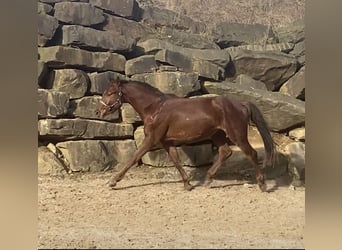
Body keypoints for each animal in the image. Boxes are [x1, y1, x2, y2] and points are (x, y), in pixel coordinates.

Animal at [95, 78, 276, 191]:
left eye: (110, 92)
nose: (99, 111)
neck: (155, 108)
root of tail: (242, 104)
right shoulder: (167, 142)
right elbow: (176, 161)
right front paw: (188, 184)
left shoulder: (152, 139)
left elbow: (134, 157)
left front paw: (112, 181)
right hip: (217, 135)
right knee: (226, 152)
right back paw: (208, 180)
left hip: (237, 135)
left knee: (252, 153)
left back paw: (262, 184)